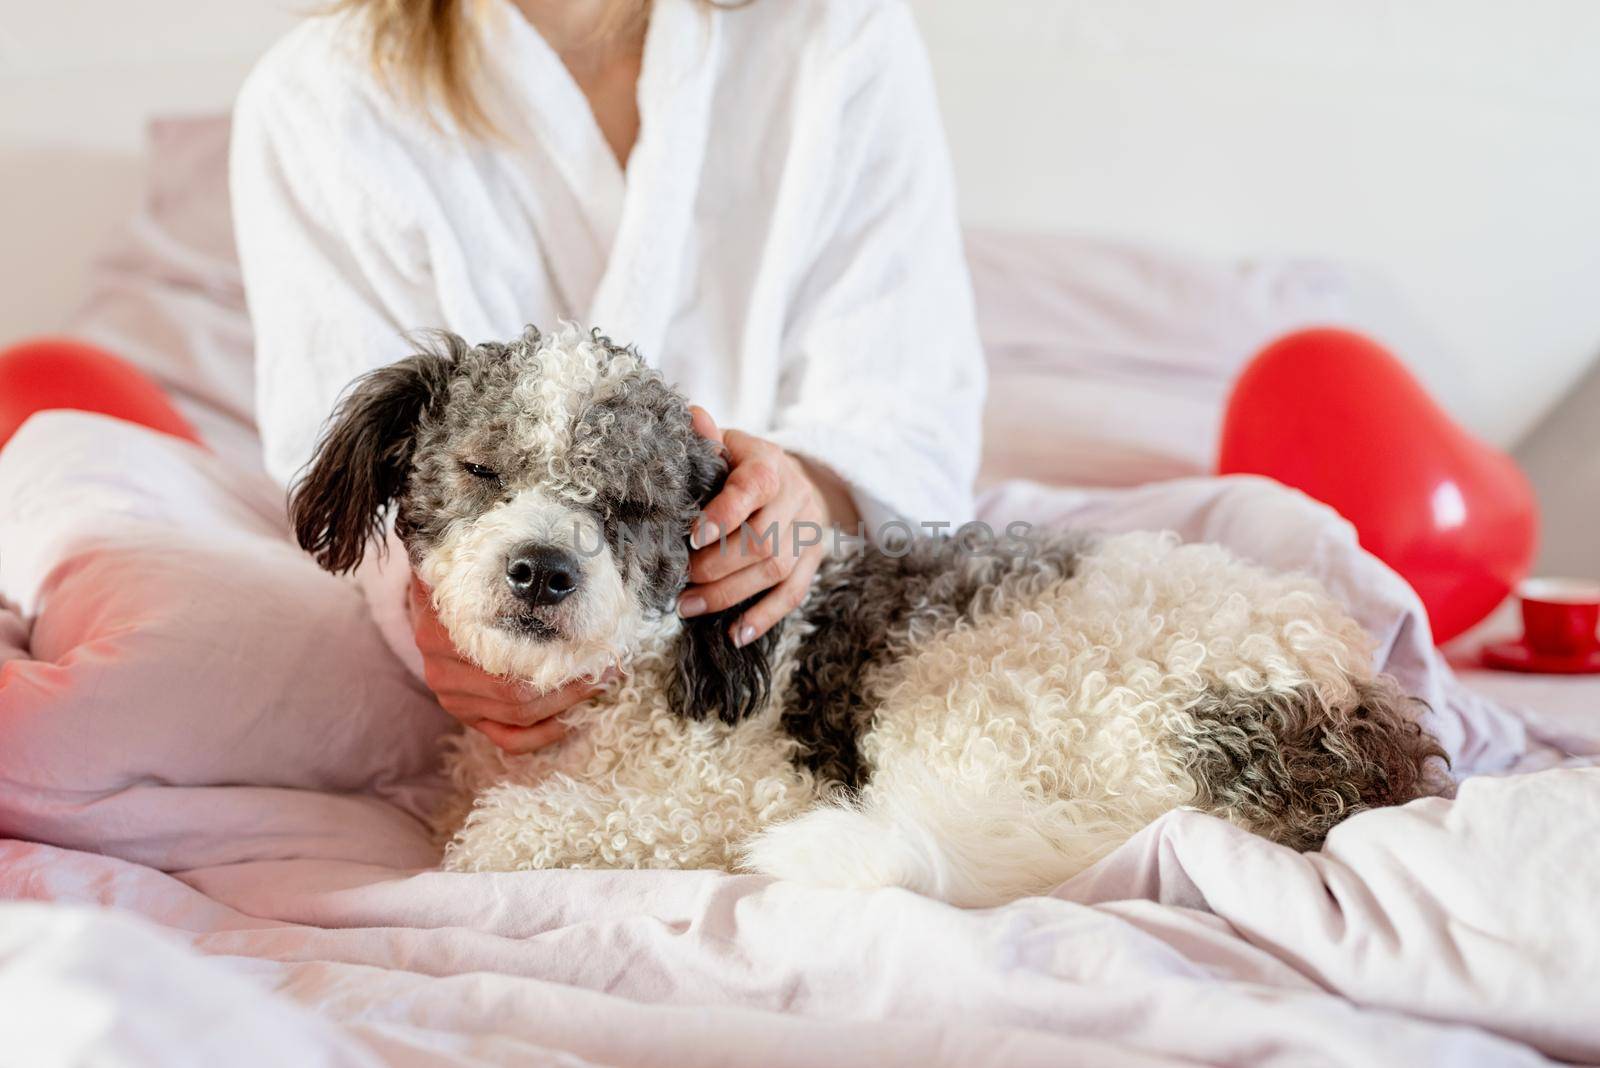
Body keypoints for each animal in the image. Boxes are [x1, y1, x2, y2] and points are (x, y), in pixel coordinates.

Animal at [294, 327, 1446, 908]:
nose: (541, 571)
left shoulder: (739, 791)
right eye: (484, 470)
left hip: (979, 710)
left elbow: (504, 836)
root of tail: (1344, 717)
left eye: (628, 506)